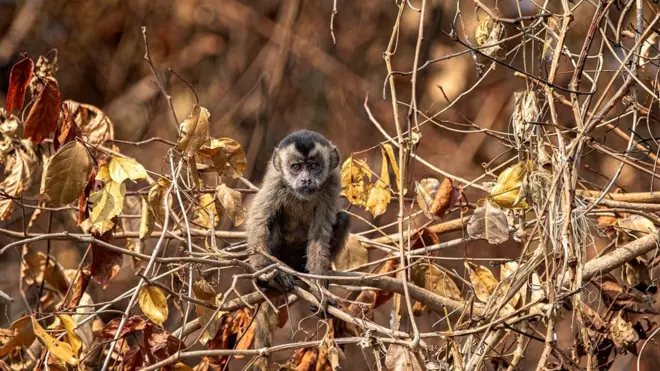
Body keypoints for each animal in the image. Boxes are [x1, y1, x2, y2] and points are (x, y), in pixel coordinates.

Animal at [245, 129, 350, 370]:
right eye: (295, 167)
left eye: (314, 166)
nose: (306, 179)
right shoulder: (276, 181)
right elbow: (259, 220)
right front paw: (264, 271)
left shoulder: (332, 181)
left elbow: (319, 236)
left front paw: (320, 289)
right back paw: (273, 279)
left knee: (342, 218)